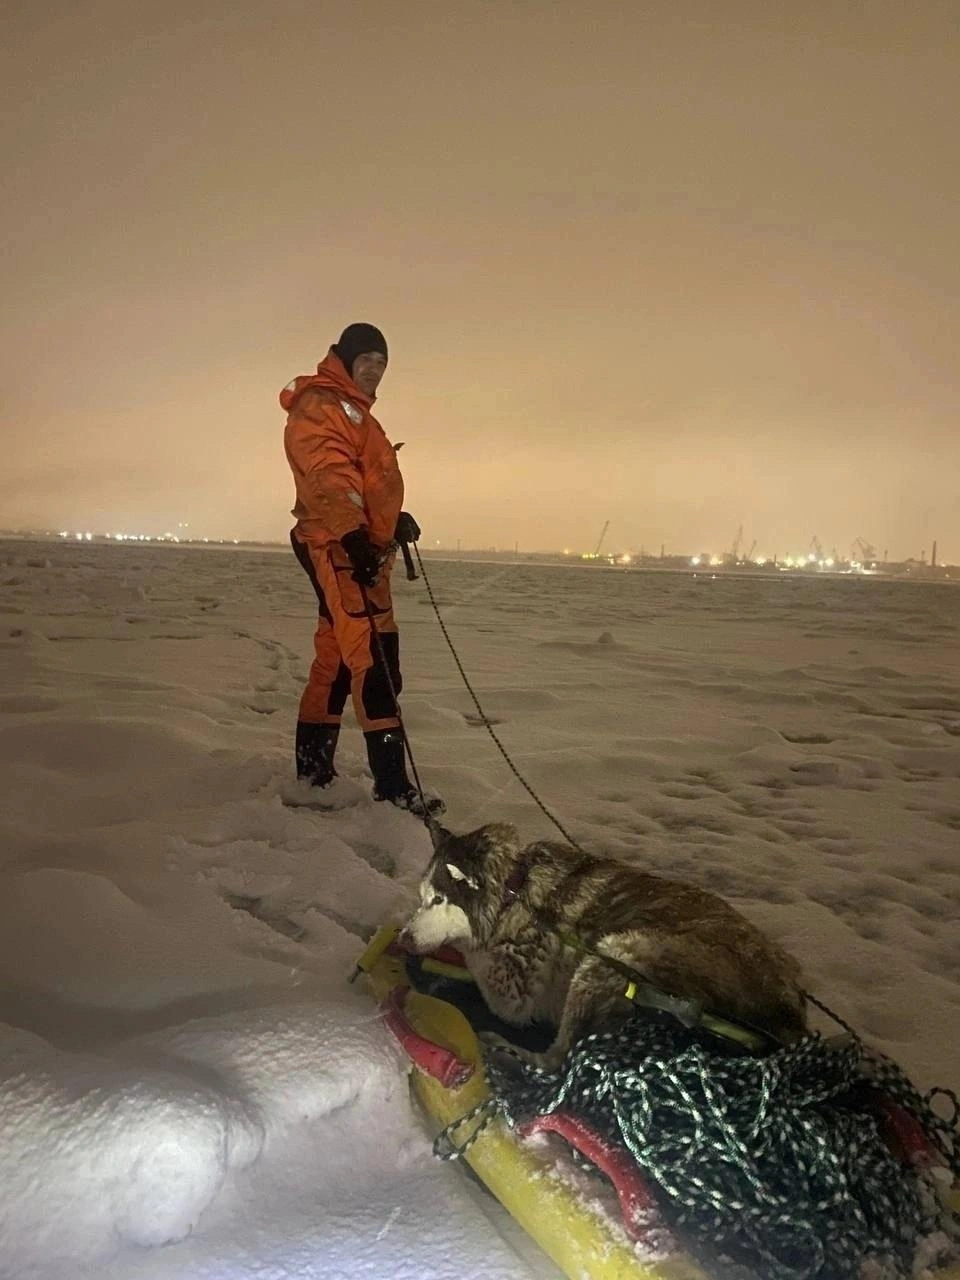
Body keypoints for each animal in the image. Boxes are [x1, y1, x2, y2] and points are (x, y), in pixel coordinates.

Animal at [401, 819, 808, 1070]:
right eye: (422, 898)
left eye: (439, 900)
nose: (405, 939)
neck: (513, 893)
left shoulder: (512, 993)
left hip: (606, 958)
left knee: (559, 1060)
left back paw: (507, 1049)